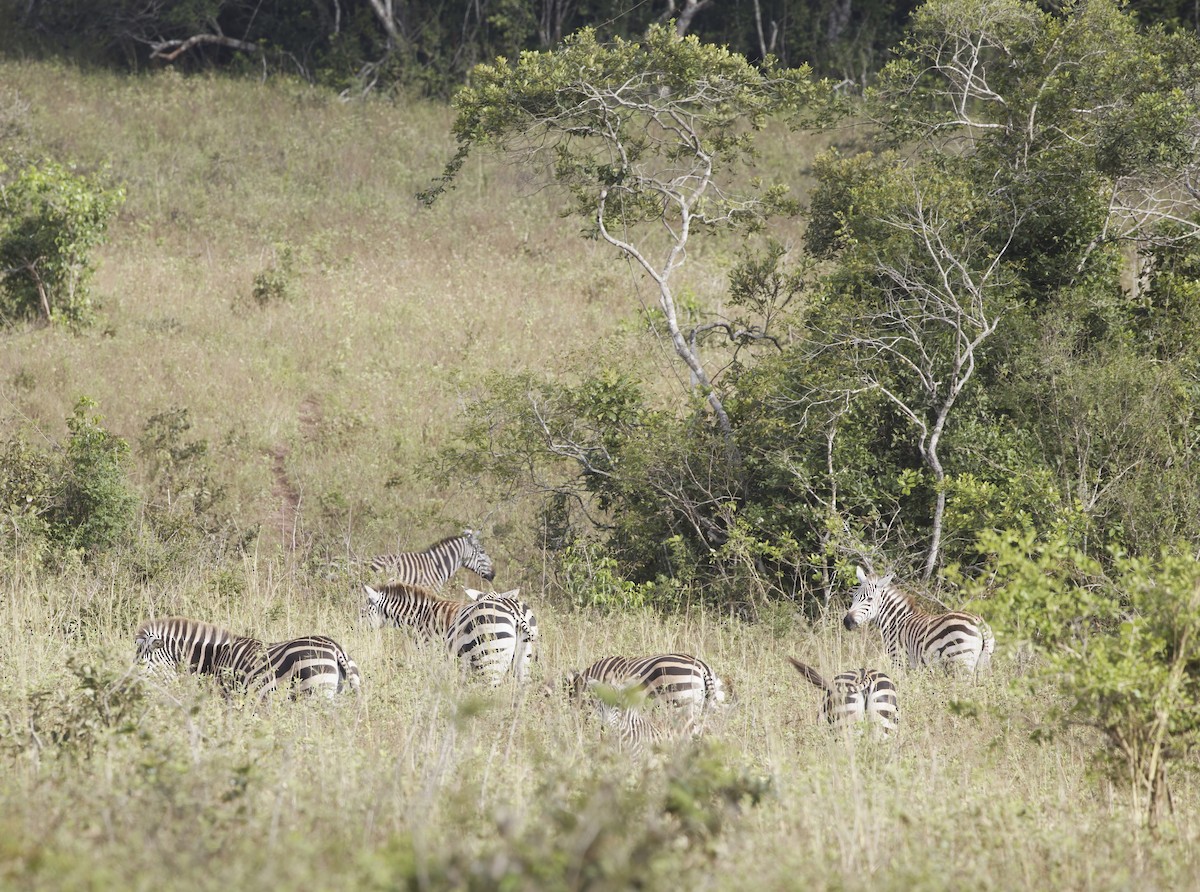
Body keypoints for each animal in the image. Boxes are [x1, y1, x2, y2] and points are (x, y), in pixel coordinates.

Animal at [134, 617, 361, 702]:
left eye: (143, 664)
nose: (133, 692)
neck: (215, 657)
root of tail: (335, 648)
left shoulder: (228, 694)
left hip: (315, 692)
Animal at [360, 582, 537, 684]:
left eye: (363, 612)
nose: (358, 630)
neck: (423, 614)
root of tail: (514, 611)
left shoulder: (428, 651)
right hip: (523, 661)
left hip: (491, 660)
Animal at [843, 565, 995, 675]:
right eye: (854, 596)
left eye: (869, 599)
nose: (847, 622)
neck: (894, 621)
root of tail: (979, 622)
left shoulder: (898, 659)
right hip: (981, 663)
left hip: (961, 662)